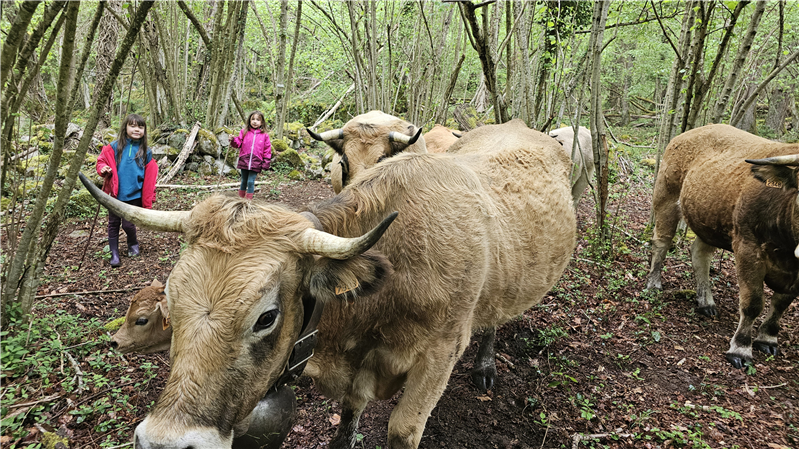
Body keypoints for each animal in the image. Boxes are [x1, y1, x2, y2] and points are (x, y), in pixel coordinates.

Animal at [80, 118, 576, 449]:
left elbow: (402, 429)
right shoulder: (356, 372)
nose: (165, 442)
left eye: (266, 318)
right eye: (171, 301)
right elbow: (348, 419)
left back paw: (486, 366)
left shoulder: (439, 356)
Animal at [645, 123, 799, 368]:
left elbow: (781, 303)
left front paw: (768, 338)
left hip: (706, 219)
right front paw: (741, 349)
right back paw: (654, 284)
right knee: (661, 242)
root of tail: (686, 134)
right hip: (666, 197)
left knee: (700, 253)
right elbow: (753, 302)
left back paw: (705, 301)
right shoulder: (748, 248)